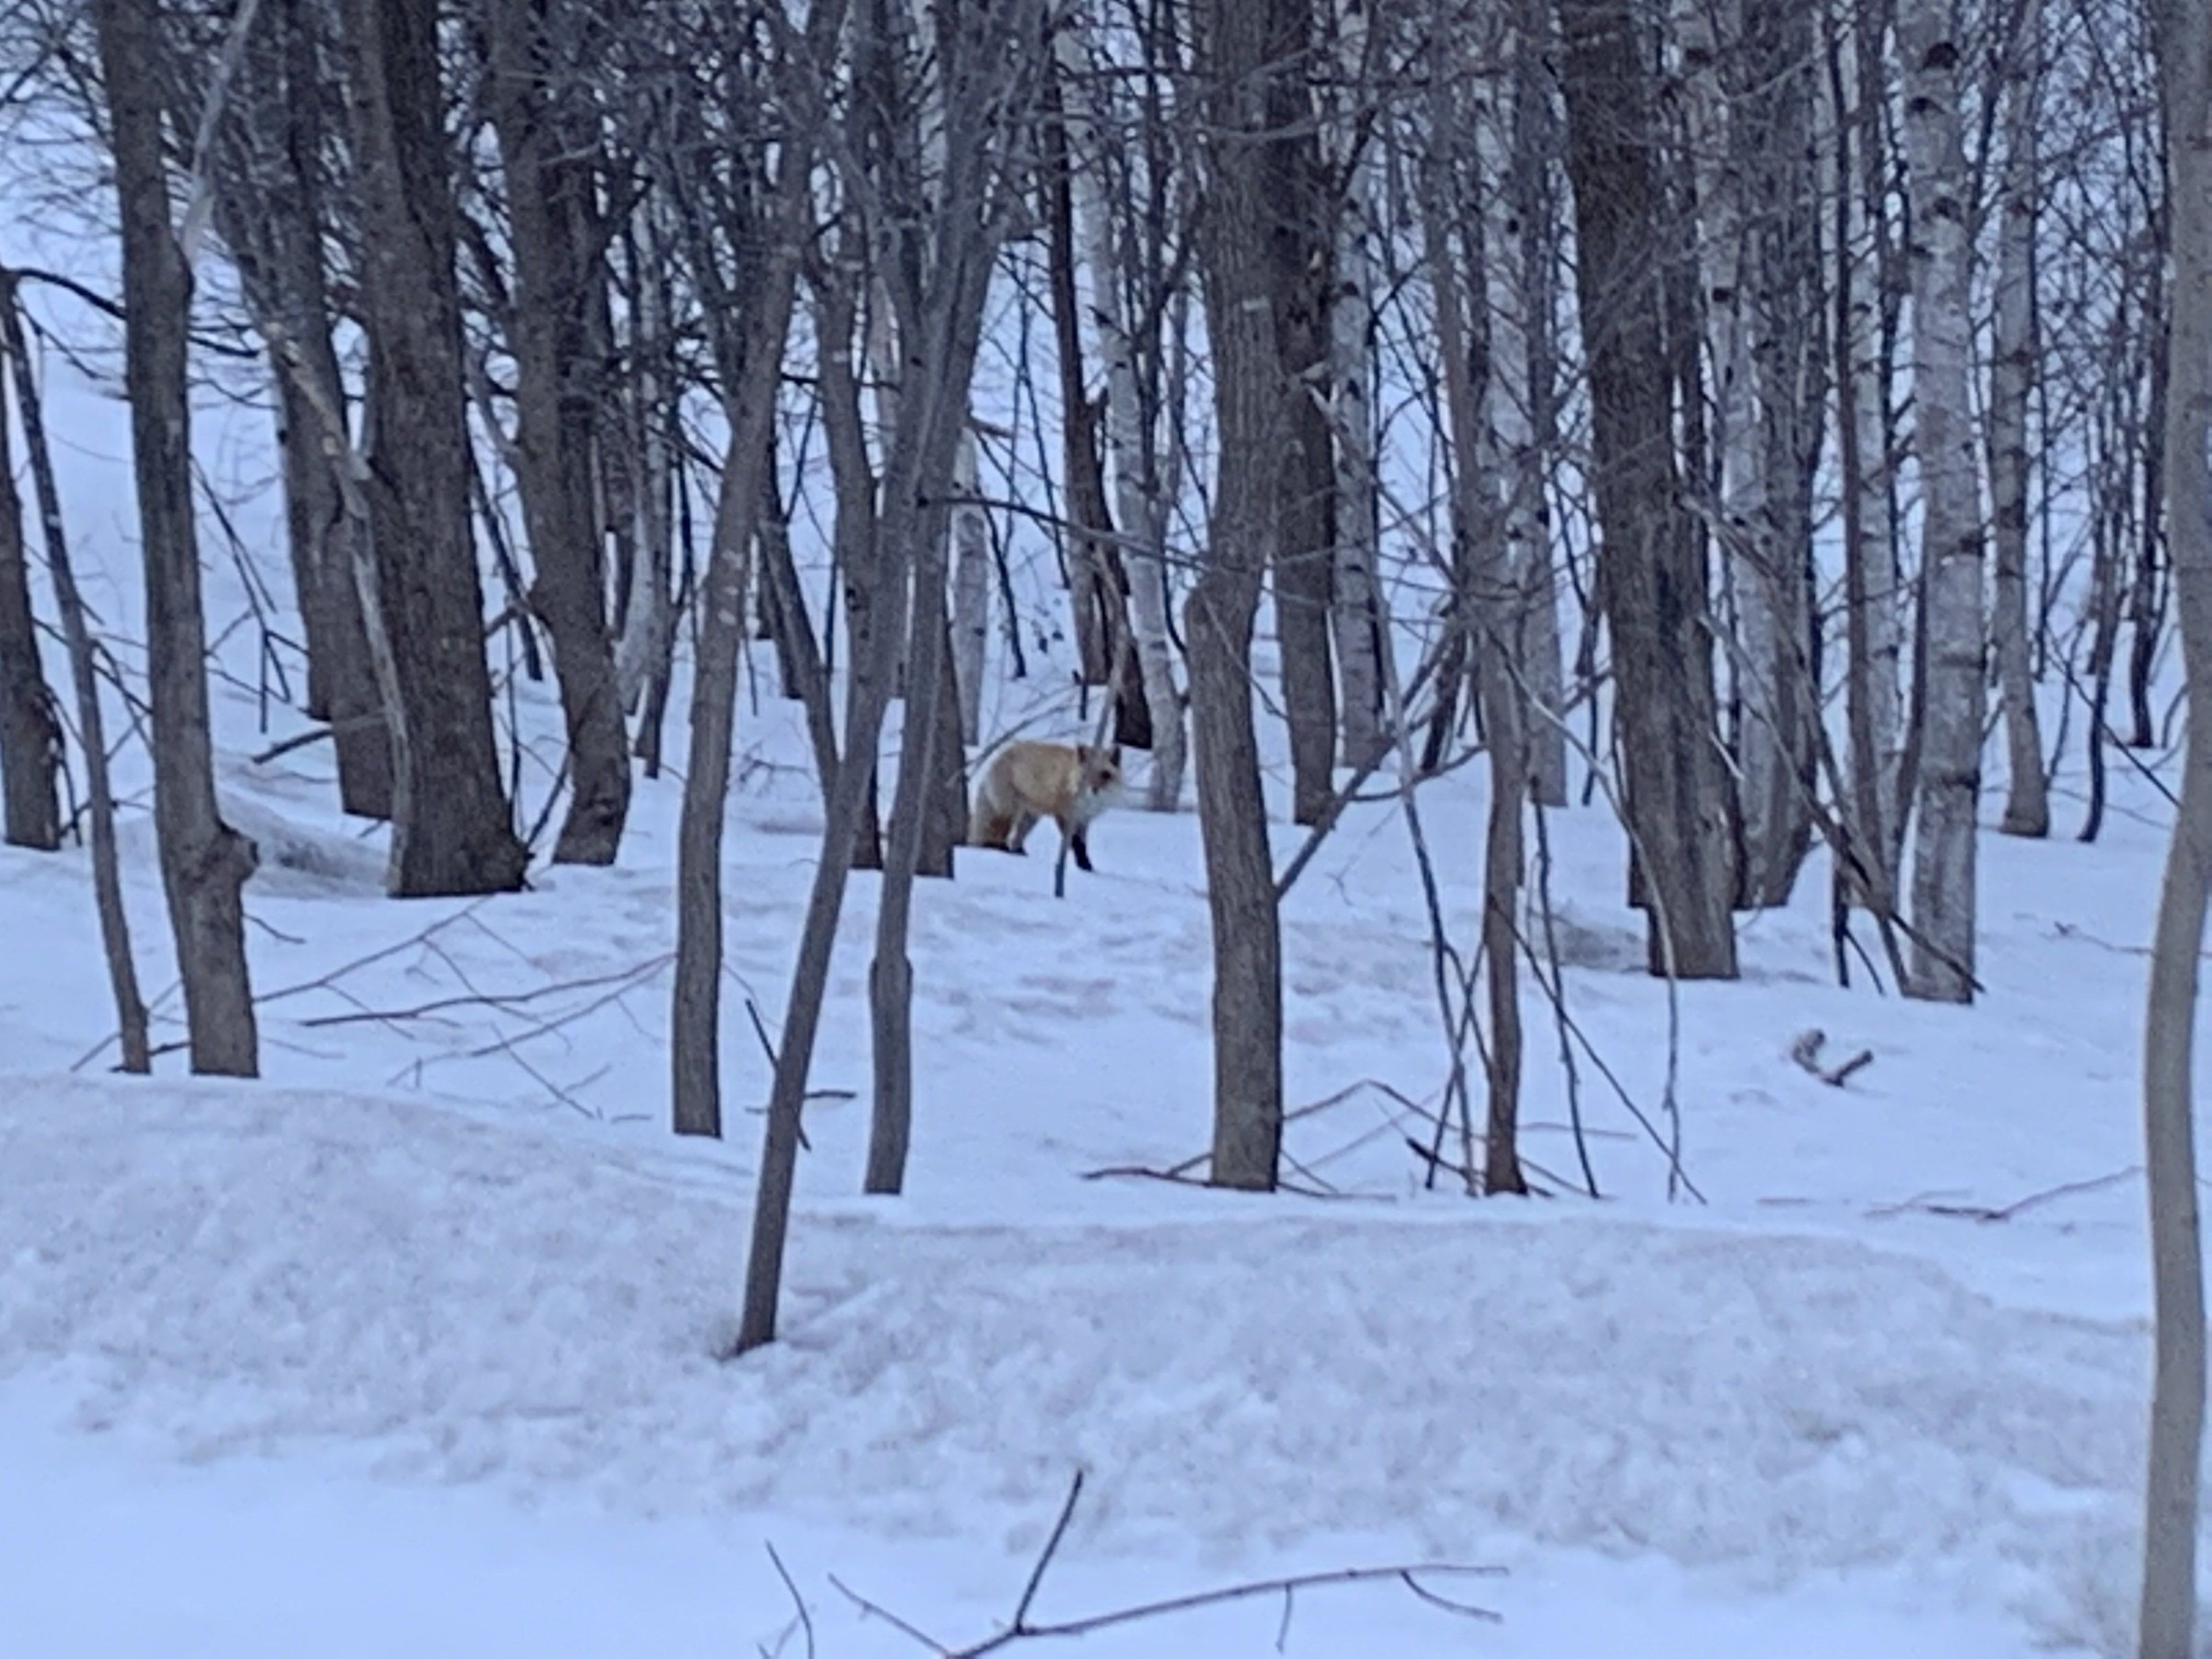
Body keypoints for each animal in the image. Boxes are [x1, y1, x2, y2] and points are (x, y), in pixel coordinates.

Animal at [968, 740, 1125, 873]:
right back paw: (1000, 850)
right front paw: (1075, 865)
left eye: (1105, 775)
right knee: (1000, 836)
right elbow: (1074, 843)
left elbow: (1083, 846)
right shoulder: (1065, 815)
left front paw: (1085, 864)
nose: (1094, 790)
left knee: (1016, 840)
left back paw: (1019, 853)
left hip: (1030, 818)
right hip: (1008, 813)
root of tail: (999, 756)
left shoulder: (1084, 819)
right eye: (1085, 776)